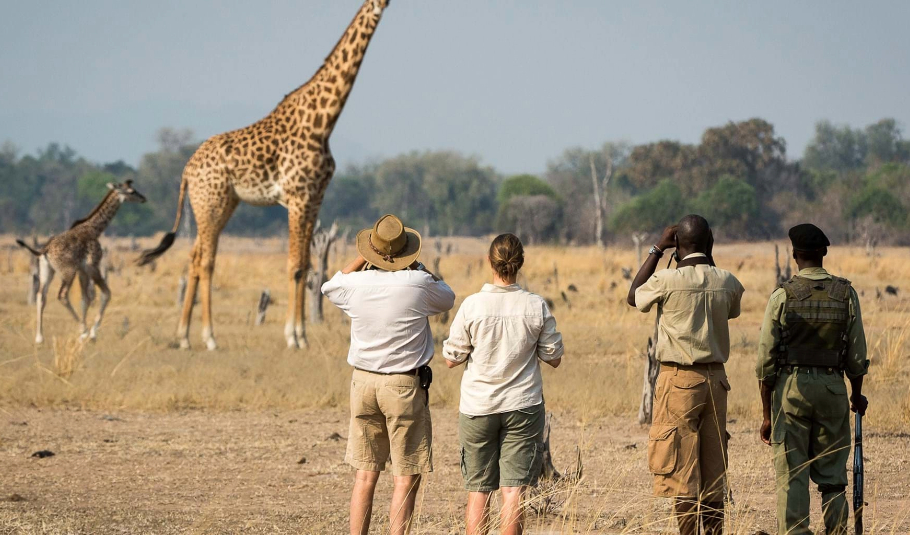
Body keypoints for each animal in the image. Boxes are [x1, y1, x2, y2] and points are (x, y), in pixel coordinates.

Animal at [16, 182, 146, 346]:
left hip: (47, 271)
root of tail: (45, 250)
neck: (94, 228)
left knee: (41, 295)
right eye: (132, 191)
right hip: (67, 271)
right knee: (62, 295)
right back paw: (83, 330)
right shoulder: (92, 266)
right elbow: (106, 294)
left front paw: (85, 334)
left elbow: (85, 299)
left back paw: (39, 338)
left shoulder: (82, 270)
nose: (143, 198)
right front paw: (90, 333)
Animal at [141, 1, 390, 352]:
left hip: (220, 205)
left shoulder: (315, 198)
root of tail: (187, 170)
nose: (383, 5)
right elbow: (295, 266)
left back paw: (184, 336)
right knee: (206, 262)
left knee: (193, 257)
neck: (323, 122)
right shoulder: (298, 197)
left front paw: (302, 334)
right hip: (210, 204)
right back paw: (209, 337)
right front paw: (293, 336)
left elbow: (306, 265)